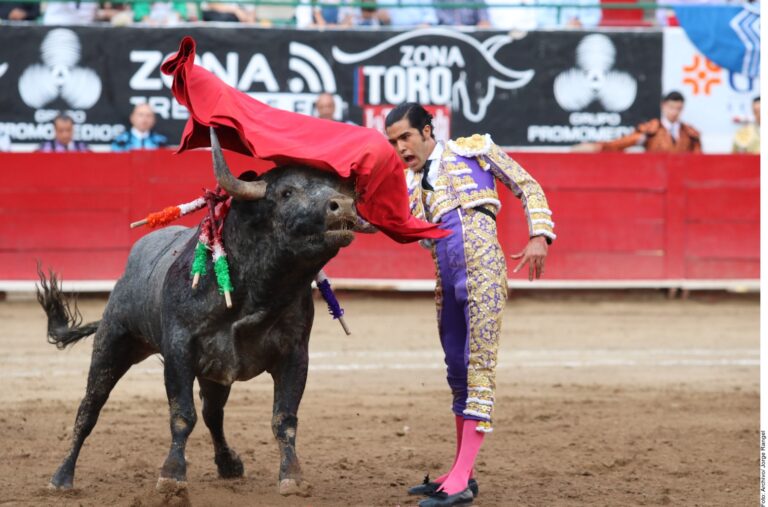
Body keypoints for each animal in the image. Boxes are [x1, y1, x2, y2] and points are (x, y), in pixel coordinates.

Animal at [38, 130, 366, 496]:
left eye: (334, 186)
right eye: (286, 192)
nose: (343, 205)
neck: (259, 290)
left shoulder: (294, 354)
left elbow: (284, 418)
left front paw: (292, 476)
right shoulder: (179, 349)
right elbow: (182, 414)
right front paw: (171, 475)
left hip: (214, 371)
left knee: (213, 412)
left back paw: (228, 464)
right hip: (113, 344)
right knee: (89, 408)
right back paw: (61, 477)